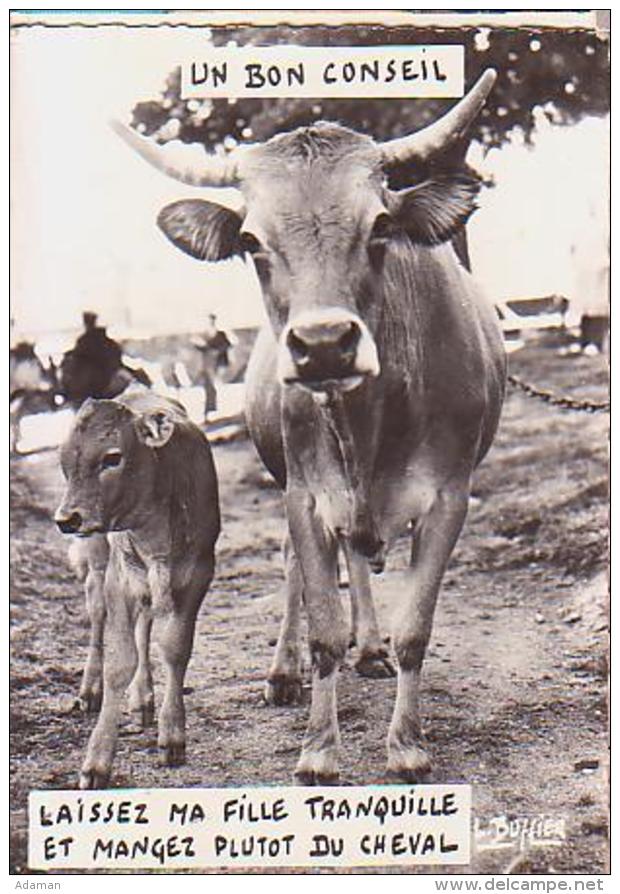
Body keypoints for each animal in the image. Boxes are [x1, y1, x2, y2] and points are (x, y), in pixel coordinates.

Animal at [54, 392, 220, 792]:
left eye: (112, 457)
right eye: (65, 459)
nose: (66, 518)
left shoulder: (198, 574)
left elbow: (175, 649)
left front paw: (172, 735)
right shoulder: (119, 579)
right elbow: (119, 661)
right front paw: (96, 761)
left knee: (145, 624)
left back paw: (143, 698)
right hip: (99, 558)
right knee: (97, 615)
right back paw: (90, 690)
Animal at [114, 70, 506, 784]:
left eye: (381, 225)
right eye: (250, 242)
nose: (324, 345)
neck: (369, 424)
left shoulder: (450, 496)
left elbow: (416, 629)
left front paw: (407, 744)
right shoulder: (307, 492)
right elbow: (322, 623)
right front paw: (319, 749)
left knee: (359, 561)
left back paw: (370, 648)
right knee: (299, 566)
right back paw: (284, 671)